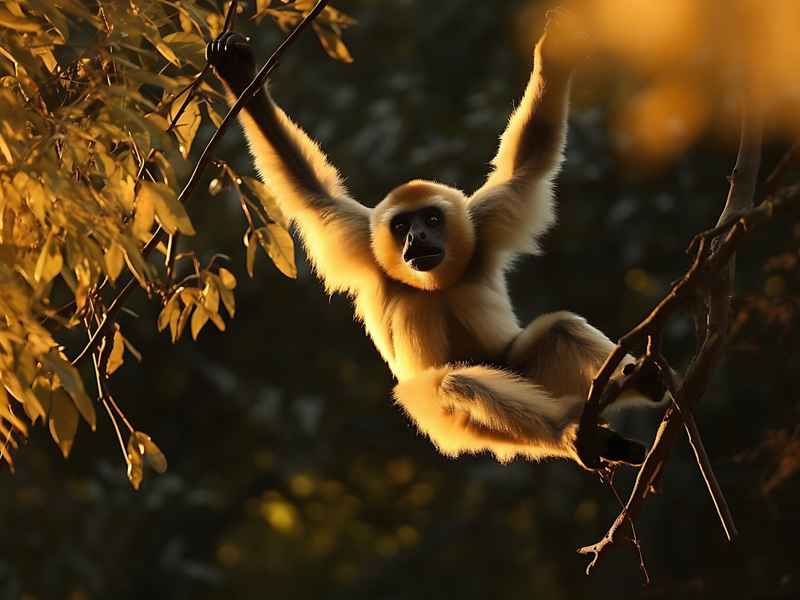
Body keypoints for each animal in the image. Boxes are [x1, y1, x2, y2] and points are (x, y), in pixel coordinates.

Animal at [205, 17, 657, 469]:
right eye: (402, 226)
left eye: (433, 220)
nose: (418, 236)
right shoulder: (363, 240)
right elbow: (308, 190)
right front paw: (240, 77)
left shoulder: (482, 222)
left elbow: (530, 159)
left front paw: (553, 52)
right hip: (446, 421)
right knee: (457, 385)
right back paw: (570, 434)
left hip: (518, 368)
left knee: (559, 328)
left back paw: (635, 381)